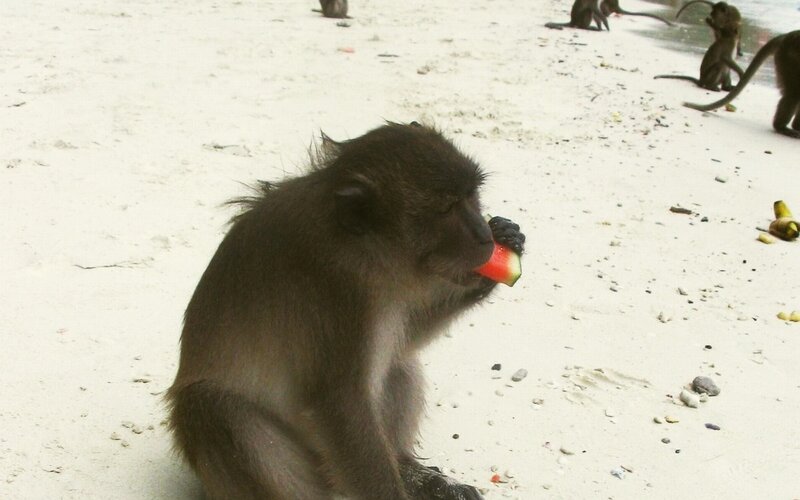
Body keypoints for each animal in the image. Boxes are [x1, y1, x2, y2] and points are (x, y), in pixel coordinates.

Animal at [165, 122, 527, 500]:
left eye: (471, 195)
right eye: (448, 209)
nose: (484, 235)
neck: (359, 244)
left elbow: (405, 334)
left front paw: (501, 246)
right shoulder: (337, 292)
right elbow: (340, 401)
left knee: (398, 361)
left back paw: (411, 471)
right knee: (214, 406)